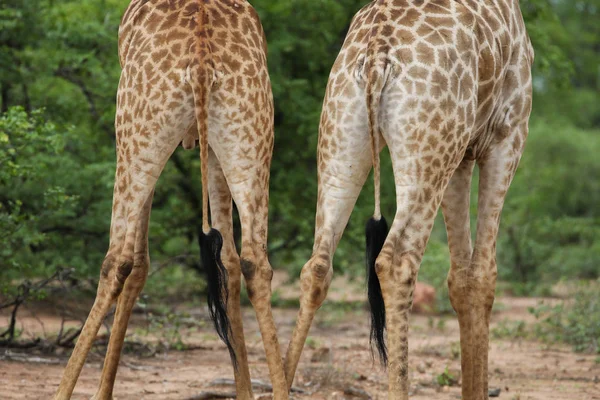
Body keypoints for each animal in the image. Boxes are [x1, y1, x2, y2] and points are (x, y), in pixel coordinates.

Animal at [52, 0, 290, 400]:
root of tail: (202, 59)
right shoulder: (214, 149)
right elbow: (229, 261)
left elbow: (136, 264)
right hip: (252, 138)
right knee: (255, 262)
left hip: (135, 135)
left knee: (115, 260)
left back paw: (63, 390)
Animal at [284, 0, 532, 400]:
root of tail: (376, 55)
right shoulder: (506, 133)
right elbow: (482, 275)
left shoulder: (463, 152)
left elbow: (461, 278)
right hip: (430, 145)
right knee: (396, 262)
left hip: (340, 132)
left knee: (317, 266)